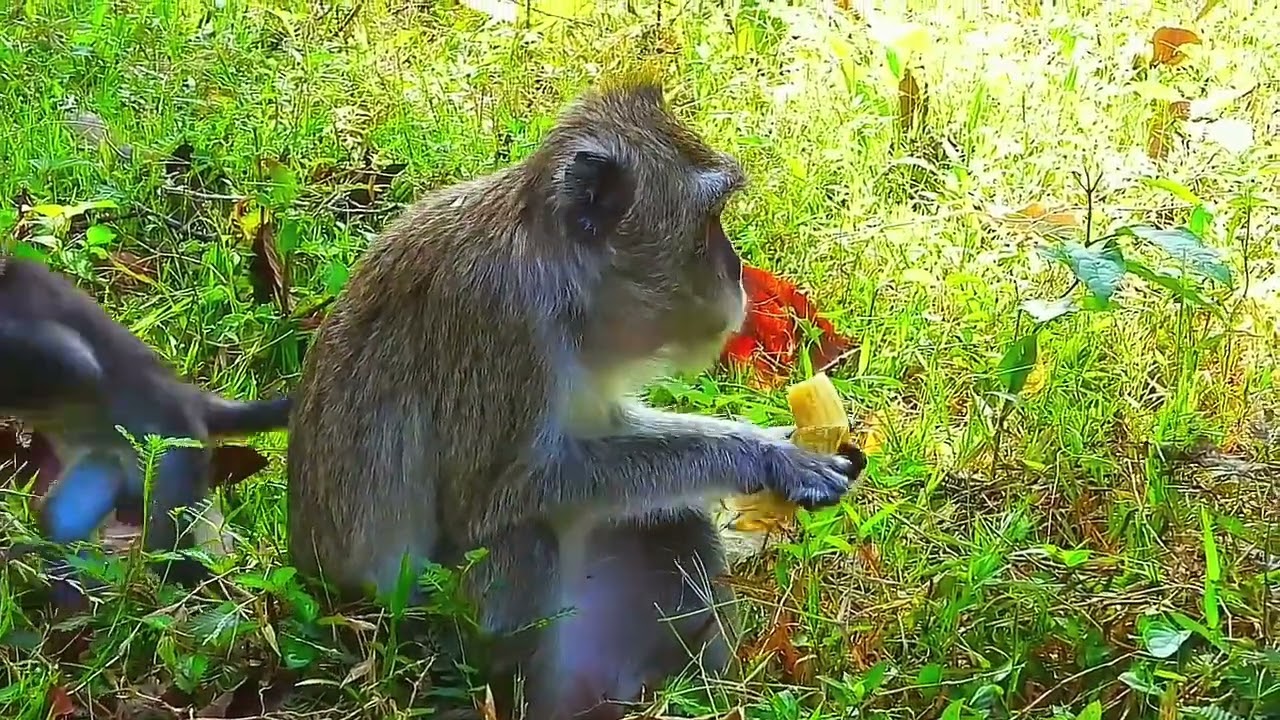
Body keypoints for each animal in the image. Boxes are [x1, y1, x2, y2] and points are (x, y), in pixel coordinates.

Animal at [0, 254, 292, 602]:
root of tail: (191, 397)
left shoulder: (57, 354)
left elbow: (74, 364)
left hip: (171, 469)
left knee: (175, 552)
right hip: (101, 464)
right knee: (65, 521)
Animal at [286, 75, 866, 719]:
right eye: (707, 222)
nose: (737, 269)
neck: (554, 268)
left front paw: (765, 442)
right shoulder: (505, 323)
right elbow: (493, 499)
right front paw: (767, 459)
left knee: (672, 518)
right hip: (423, 637)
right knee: (524, 536)